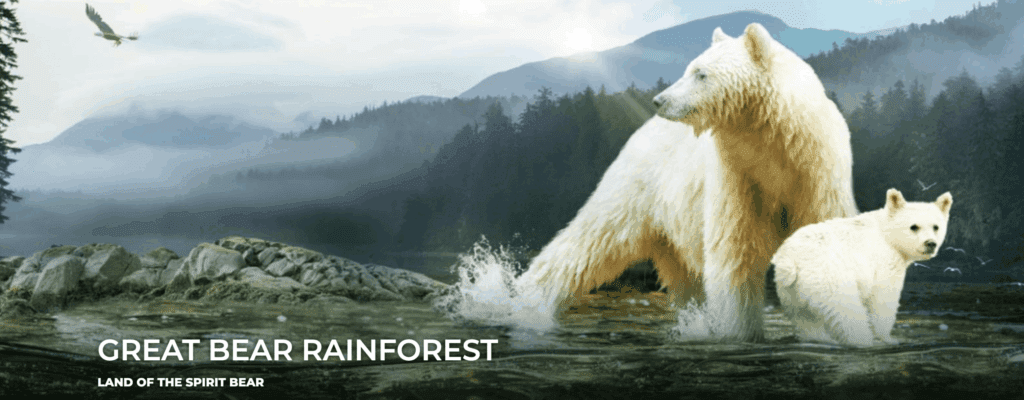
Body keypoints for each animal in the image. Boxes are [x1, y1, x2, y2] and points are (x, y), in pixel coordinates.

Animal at [516, 22, 858, 342]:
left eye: (700, 74)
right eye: (690, 67)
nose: (660, 100)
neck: (776, 147)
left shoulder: (818, 178)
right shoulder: (737, 178)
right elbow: (735, 254)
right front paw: (739, 334)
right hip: (636, 189)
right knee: (590, 241)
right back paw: (528, 303)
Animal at [771, 189, 953, 347]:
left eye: (936, 227)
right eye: (914, 226)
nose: (930, 244)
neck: (886, 233)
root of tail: (791, 260)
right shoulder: (885, 260)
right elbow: (883, 299)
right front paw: (887, 338)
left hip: (791, 290)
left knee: (805, 318)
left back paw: (819, 339)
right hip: (829, 277)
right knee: (845, 312)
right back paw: (863, 341)